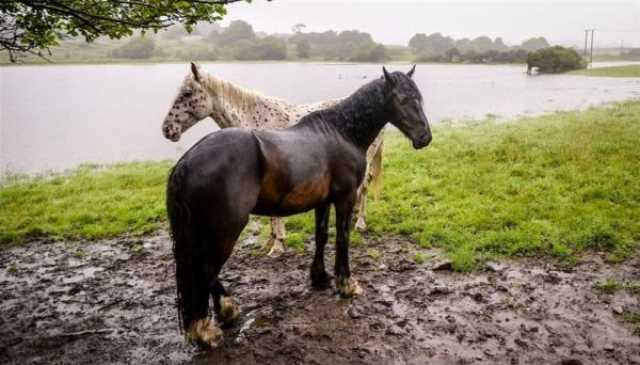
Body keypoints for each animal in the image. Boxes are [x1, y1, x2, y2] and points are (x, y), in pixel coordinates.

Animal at [162, 62, 382, 255]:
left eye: (187, 93)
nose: (167, 129)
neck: (255, 120)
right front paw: (271, 242)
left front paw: (277, 246)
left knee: (363, 188)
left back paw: (360, 223)